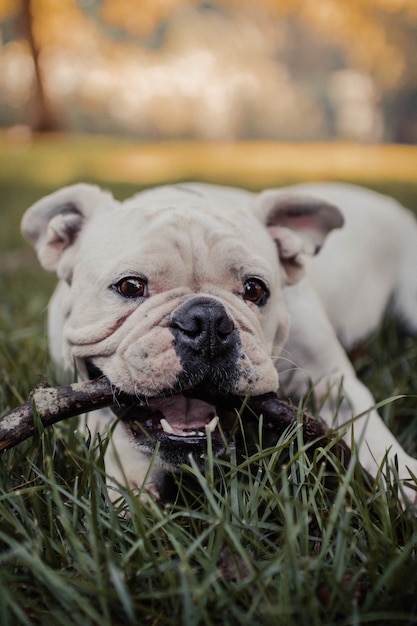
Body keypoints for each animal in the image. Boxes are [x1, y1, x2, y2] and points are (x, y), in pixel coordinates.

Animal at [20, 180, 417, 502]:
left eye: (255, 289)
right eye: (130, 286)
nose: (207, 320)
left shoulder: (331, 381)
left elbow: (369, 430)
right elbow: (108, 421)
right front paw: (132, 481)